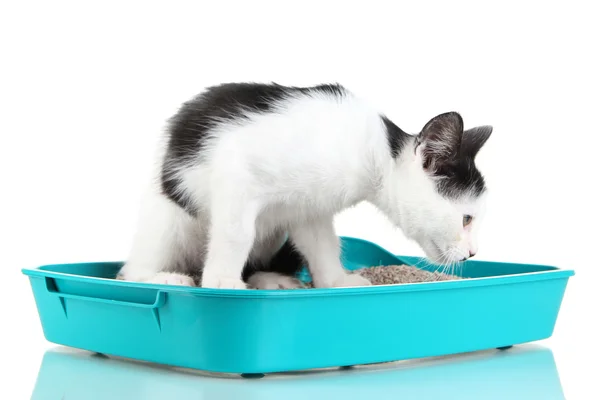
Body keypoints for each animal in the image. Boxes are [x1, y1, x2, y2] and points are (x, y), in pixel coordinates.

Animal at [118, 83, 492, 290]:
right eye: (467, 219)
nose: (474, 253)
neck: (371, 153)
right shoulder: (235, 167)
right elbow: (237, 233)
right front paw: (222, 281)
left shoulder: (308, 208)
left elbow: (323, 244)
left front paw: (336, 281)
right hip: (170, 218)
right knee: (129, 271)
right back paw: (163, 277)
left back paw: (268, 279)